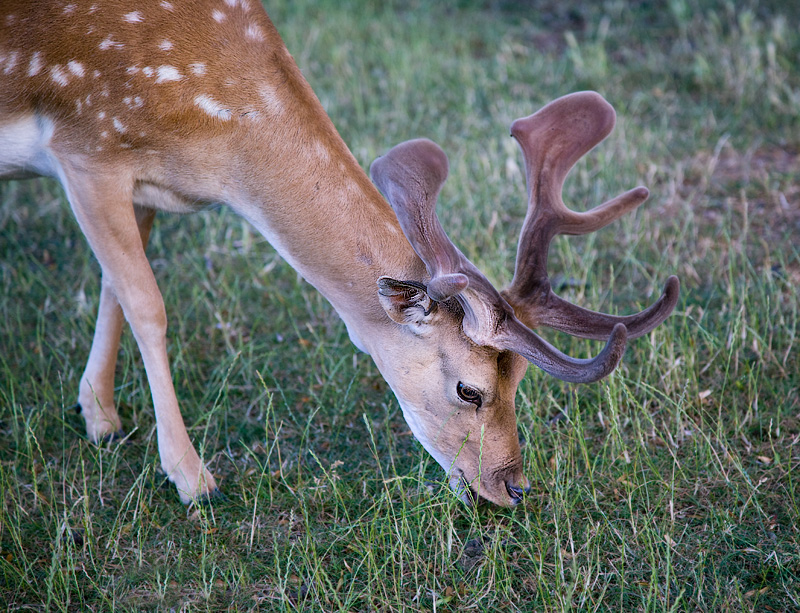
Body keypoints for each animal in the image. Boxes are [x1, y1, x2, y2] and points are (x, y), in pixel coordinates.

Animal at [0, 0, 680, 504]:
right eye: (470, 389)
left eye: (518, 384)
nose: (513, 487)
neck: (213, 149)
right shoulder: (86, 147)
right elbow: (147, 303)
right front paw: (191, 477)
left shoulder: (139, 184)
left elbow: (113, 285)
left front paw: (99, 416)